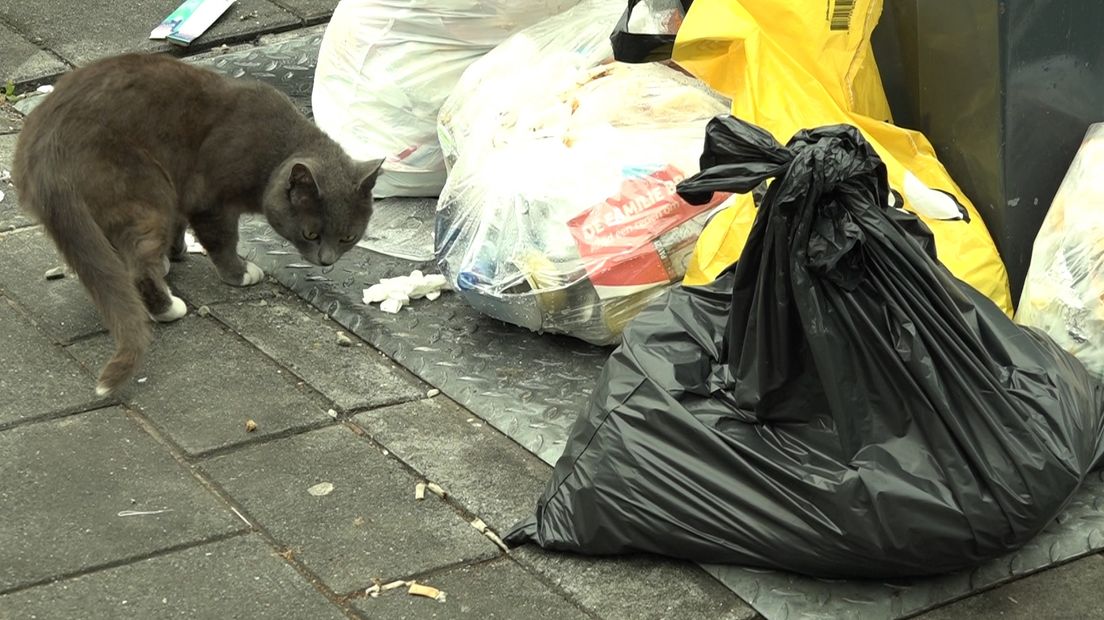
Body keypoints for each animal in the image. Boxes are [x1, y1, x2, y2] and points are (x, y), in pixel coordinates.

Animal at [10, 55, 384, 397]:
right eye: (311, 234)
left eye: (348, 237)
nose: (327, 260)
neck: (276, 150)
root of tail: (46, 153)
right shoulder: (210, 198)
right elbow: (222, 239)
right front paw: (240, 273)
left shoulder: (182, 190)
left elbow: (180, 223)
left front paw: (175, 252)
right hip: (145, 186)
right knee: (137, 265)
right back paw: (168, 307)